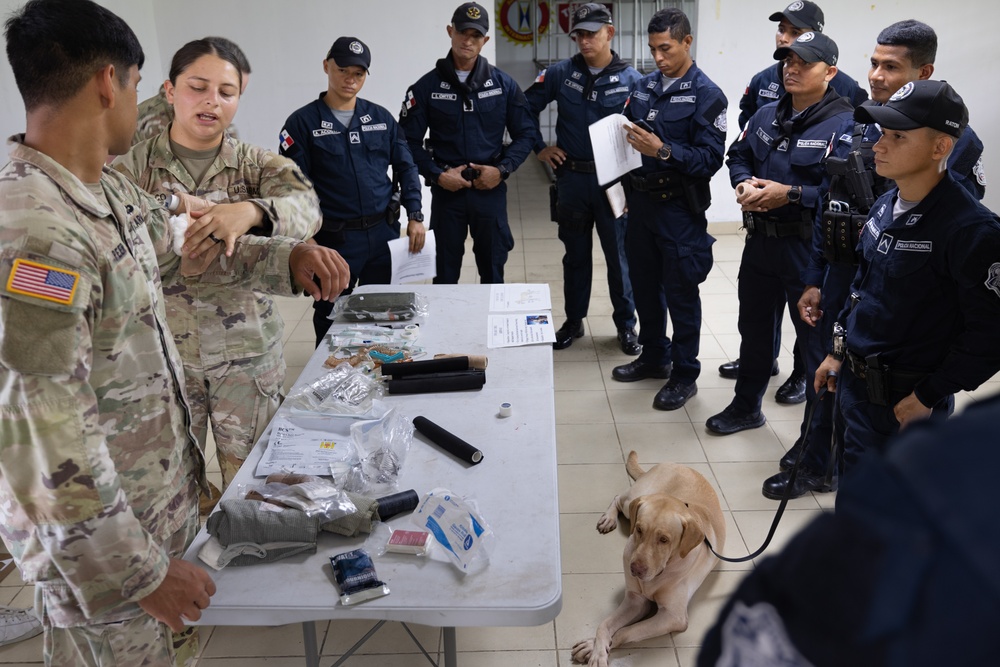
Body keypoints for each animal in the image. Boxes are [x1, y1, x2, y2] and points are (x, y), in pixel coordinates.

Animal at [572, 452, 728, 664]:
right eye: (639, 529)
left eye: (664, 539)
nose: (635, 570)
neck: (662, 571)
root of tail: (678, 464)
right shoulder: (635, 599)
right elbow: (604, 624)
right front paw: (596, 649)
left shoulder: (673, 616)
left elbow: (625, 631)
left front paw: (592, 647)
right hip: (632, 500)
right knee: (618, 498)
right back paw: (609, 518)